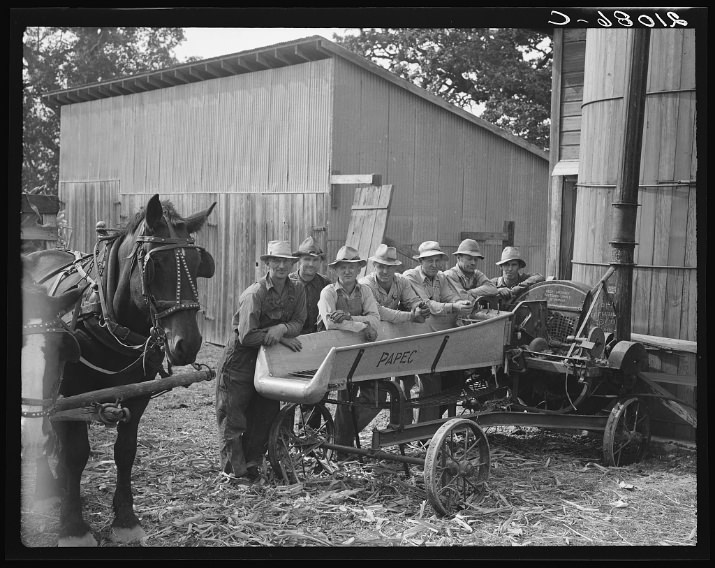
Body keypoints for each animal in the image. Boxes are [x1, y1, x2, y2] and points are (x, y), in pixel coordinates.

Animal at [24, 194, 215, 544]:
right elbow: (76, 454)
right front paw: (73, 526)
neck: (106, 317)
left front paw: (125, 518)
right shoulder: (72, 392)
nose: (188, 343)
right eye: (155, 266)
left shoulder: (137, 395)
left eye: (199, 264)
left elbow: (125, 451)